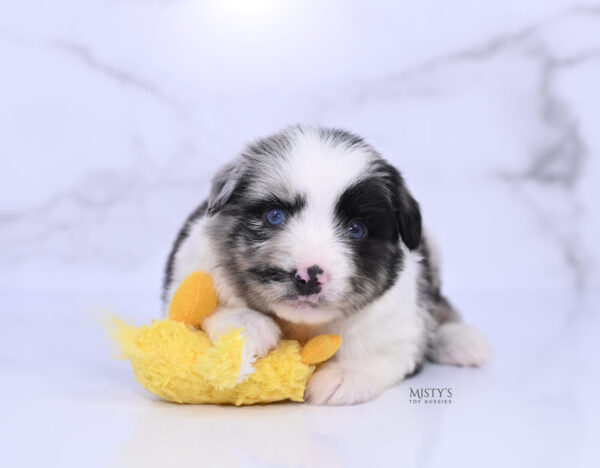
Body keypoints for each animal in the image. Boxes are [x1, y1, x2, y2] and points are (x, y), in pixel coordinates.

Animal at [162, 125, 490, 406]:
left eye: (357, 229)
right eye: (274, 216)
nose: (309, 277)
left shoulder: (399, 323)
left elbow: (379, 350)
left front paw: (344, 375)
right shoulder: (191, 265)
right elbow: (207, 305)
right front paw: (248, 325)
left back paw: (463, 340)